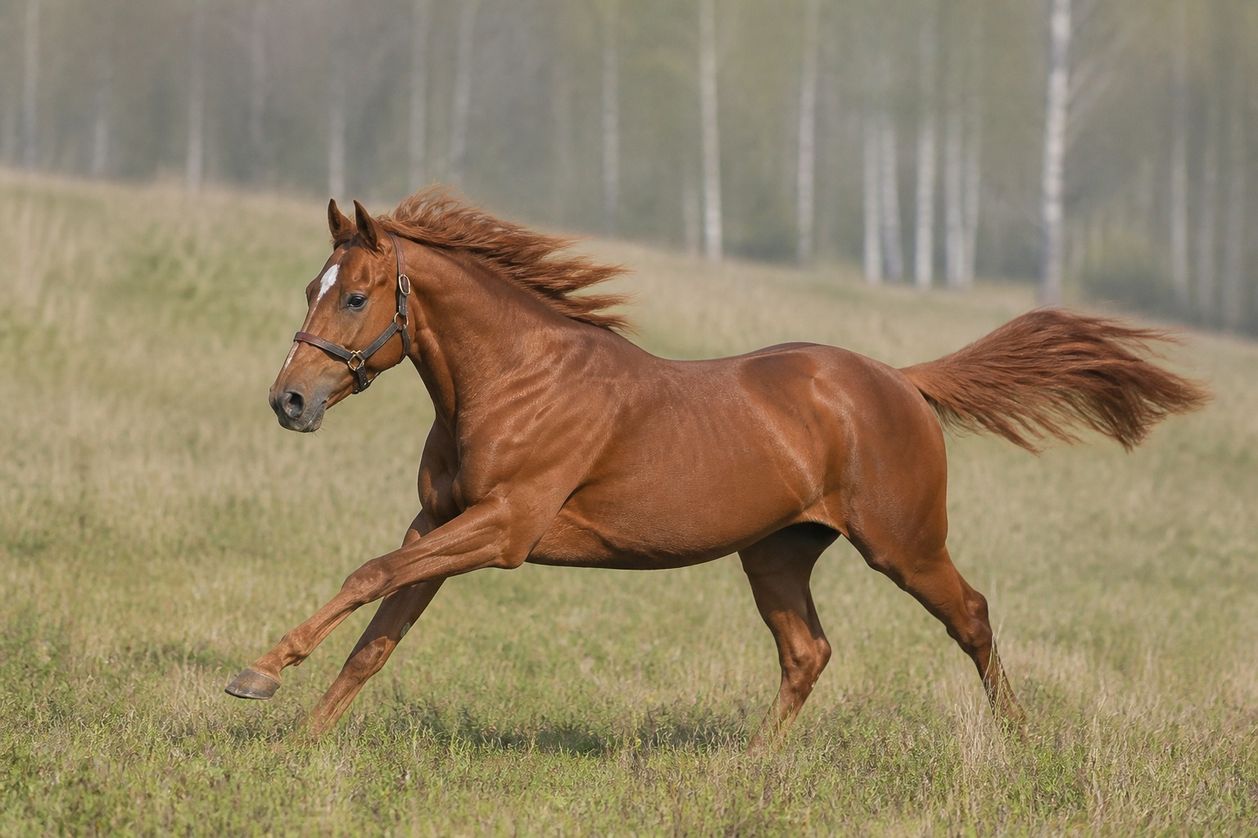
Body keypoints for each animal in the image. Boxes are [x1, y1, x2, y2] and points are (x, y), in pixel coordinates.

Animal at [226, 190, 1207, 744]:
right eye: (311, 289)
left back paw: (1021, 745)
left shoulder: (500, 530)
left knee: (970, 616)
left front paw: (258, 676)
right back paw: (748, 770)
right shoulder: (439, 524)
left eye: (357, 296)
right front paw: (302, 742)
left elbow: (368, 577)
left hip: (905, 546)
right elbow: (379, 633)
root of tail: (902, 381)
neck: (513, 381)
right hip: (775, 553)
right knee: (808, 653)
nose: (289, 402)